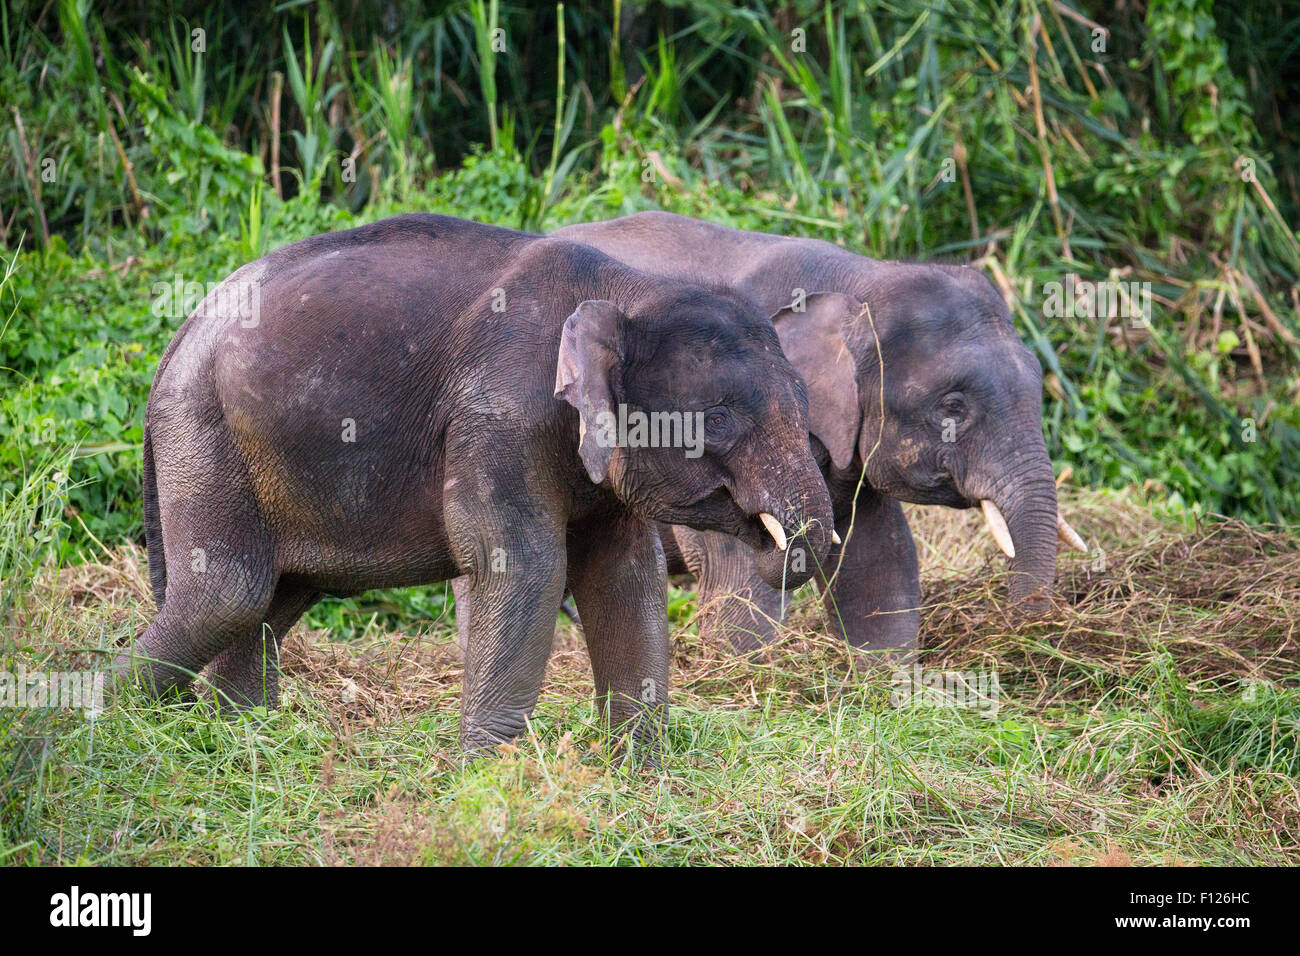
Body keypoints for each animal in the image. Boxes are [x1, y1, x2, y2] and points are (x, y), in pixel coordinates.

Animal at [119, 213, 832, 759]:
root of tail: (175, 340)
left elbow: (624, 573)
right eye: (719, 419)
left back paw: (245, 740)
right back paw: (103, 719)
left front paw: (637, 770)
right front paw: (489, 775)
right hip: (204, 436)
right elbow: (524, 565)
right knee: (228, 594)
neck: (624, 290)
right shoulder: (499, 415)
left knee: (275, 596)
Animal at [551, 212, 1086, 655]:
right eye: (953, 407)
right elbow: (738, 573)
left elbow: (878, 556)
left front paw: (886, 681)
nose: (1030, 633)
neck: (859, 282)